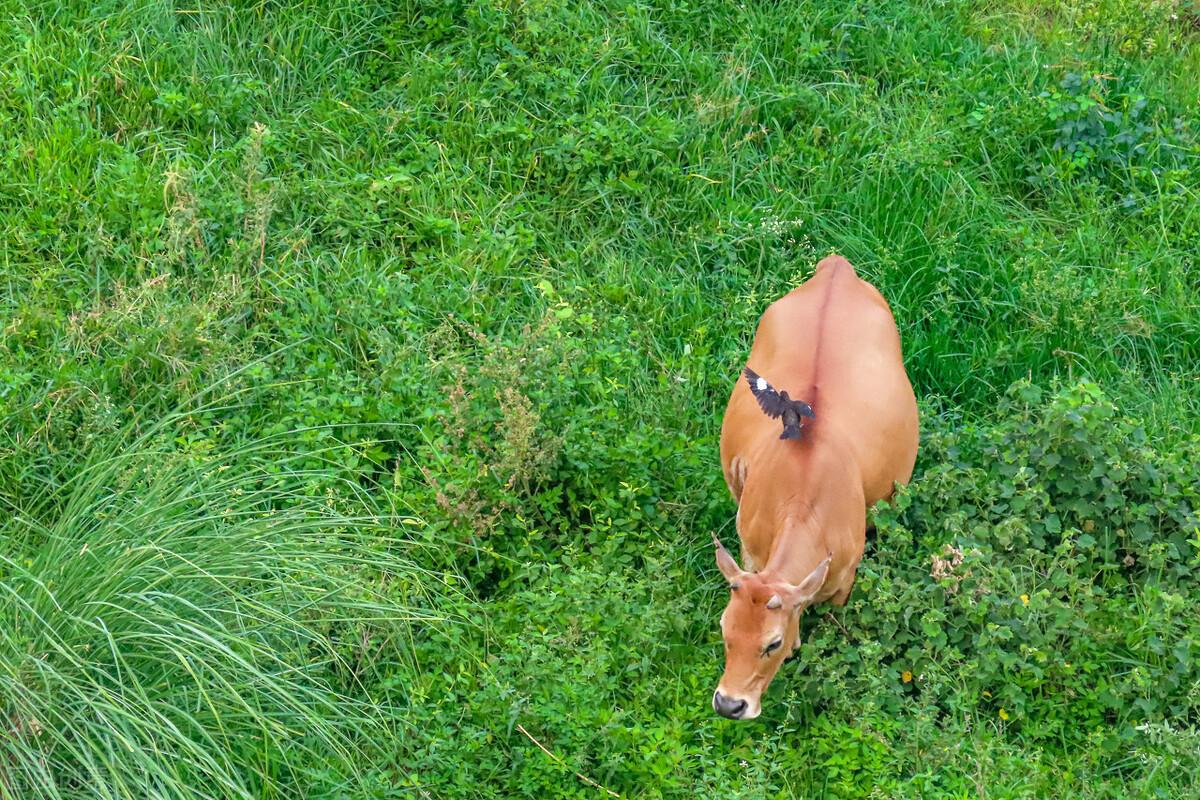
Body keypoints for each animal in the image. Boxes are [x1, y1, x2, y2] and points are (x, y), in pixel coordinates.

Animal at [710, 255, 916, 719]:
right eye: (725, 628)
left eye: (772, 643)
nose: (729, 704)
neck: (803, 502)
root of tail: (837, 267)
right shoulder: (751, 555)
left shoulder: (844, 581)